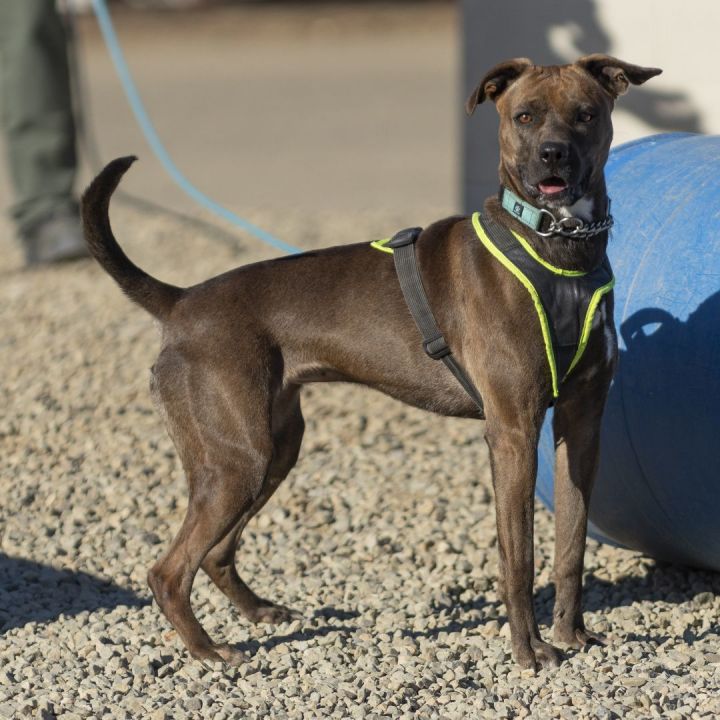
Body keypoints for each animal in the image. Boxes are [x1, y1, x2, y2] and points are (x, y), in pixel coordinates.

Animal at [81, 54, 660, 668]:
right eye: (524, 115)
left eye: (586, 114)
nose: (553, 154)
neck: (558, 248)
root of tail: (182, 301)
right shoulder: (512, 430)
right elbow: (518, 558)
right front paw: (528, 650)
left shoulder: (581, 422)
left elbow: (571, 545)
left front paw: (572, 635)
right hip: (237, 459)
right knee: (167, 571)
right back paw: (208, 650)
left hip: (273, 450)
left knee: (214, 553)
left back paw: (259, 613)